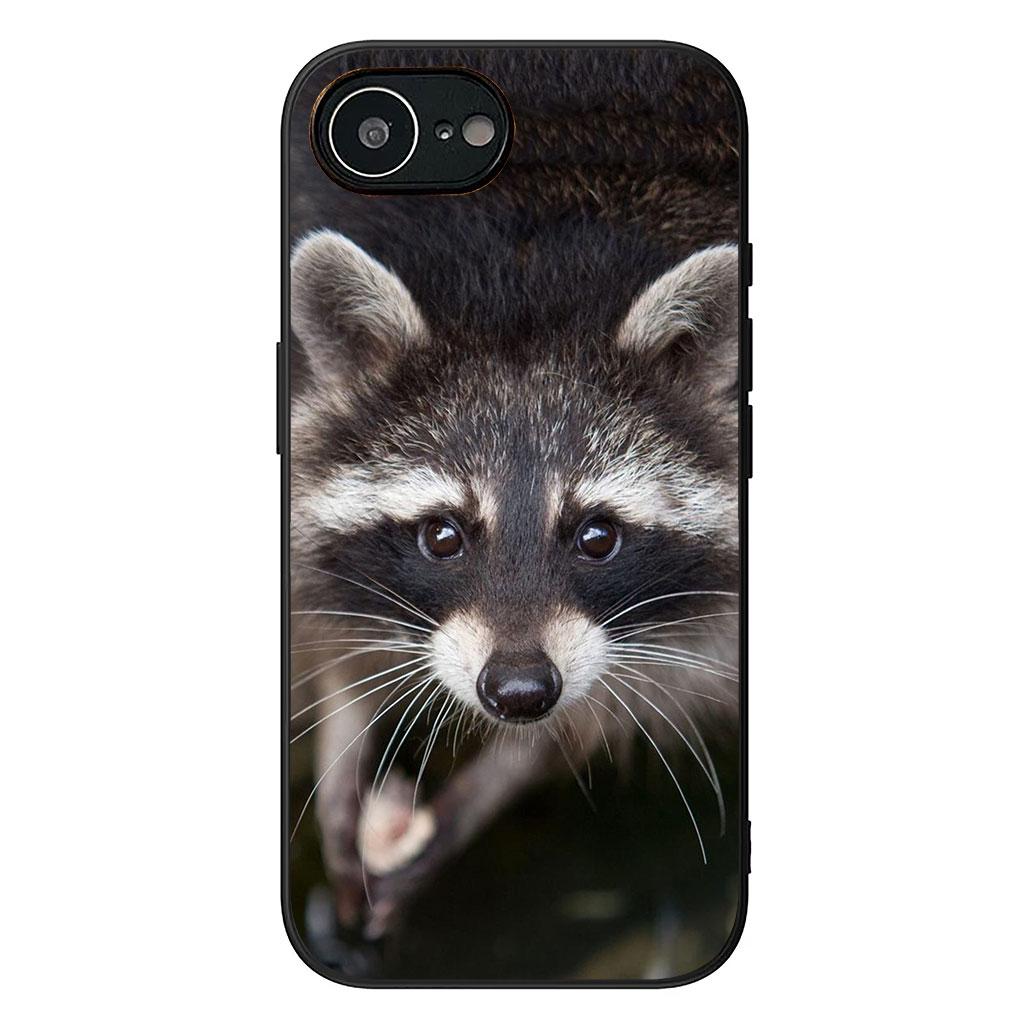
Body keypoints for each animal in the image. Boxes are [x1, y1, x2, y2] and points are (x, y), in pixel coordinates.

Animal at [287, 46, 742, 941]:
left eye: (597, 536)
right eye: (442, 535)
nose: (521, 692)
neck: (525, 273)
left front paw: (503, 772)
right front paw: (343, 724)